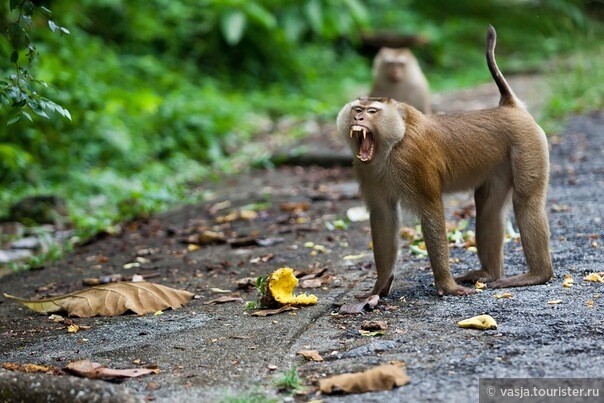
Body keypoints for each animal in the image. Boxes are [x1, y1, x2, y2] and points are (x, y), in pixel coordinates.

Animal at [338, 25, 556, 296]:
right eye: (357, 109)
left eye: (371, 111)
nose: (358, 118)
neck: (392, 147)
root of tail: (510, 107)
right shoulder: (366, 171)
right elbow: (383, 217)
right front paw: (378, 289)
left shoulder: (414, 163)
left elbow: (431, 212)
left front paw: (446, 286)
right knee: (489, 207)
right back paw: (488, 273)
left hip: (527, 143)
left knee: (526, 202)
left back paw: (537, 275)